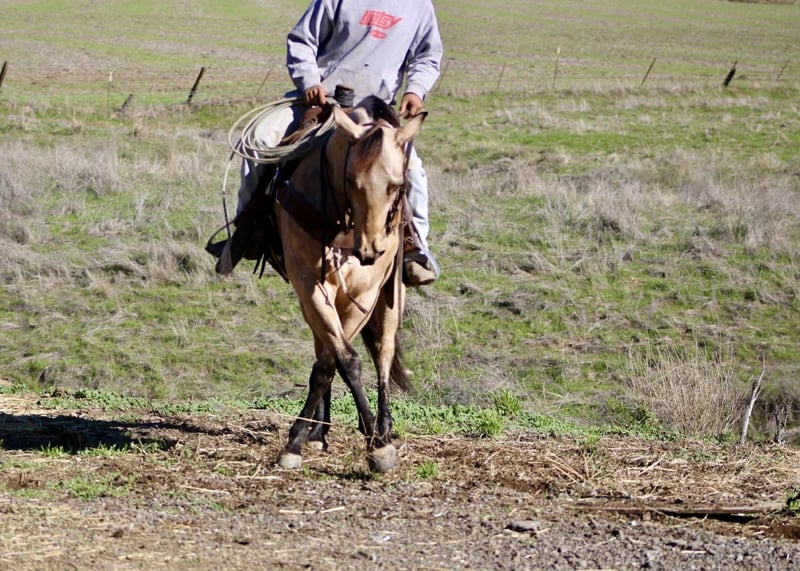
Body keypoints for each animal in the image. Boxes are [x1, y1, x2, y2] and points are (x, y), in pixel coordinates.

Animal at [274, 96, 426, 473]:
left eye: (397, 185)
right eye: (352, 181)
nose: (371, 250)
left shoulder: (366, 295)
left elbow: (336, 362)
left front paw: (379, 443)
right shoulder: (310, 287)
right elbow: (341, 362)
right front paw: (300, 440)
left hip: (390, 299)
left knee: (383, 353)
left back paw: (383, 425)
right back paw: (321, 431)